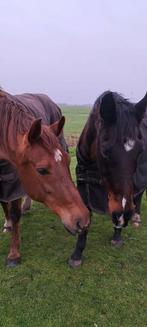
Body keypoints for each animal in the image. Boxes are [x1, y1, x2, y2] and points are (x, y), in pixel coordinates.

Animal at [0, 89, 89, 266]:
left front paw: (13, 254)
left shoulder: (13, 179)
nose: (82, 220)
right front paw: (8, 226)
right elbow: (5, 204)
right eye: (42, 170)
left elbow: (15, 213)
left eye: (68, 160)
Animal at [69, 91, 147, 268]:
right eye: (105, 151)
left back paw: (136, 217)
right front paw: (77, 254)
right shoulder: (83, 186)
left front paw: (117, 235)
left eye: (140, 150)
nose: (124, 217)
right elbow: (85, 218)